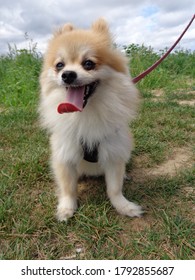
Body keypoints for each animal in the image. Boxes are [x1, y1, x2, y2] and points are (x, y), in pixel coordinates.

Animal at [39, 18, 142, 222]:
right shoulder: (65, 153)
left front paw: (124, 206)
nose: (67, 75)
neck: (85, 114)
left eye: (88, 63)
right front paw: (66, 208)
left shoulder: (113, 152)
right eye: (59, 65)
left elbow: (114, 188)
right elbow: (68, 188)